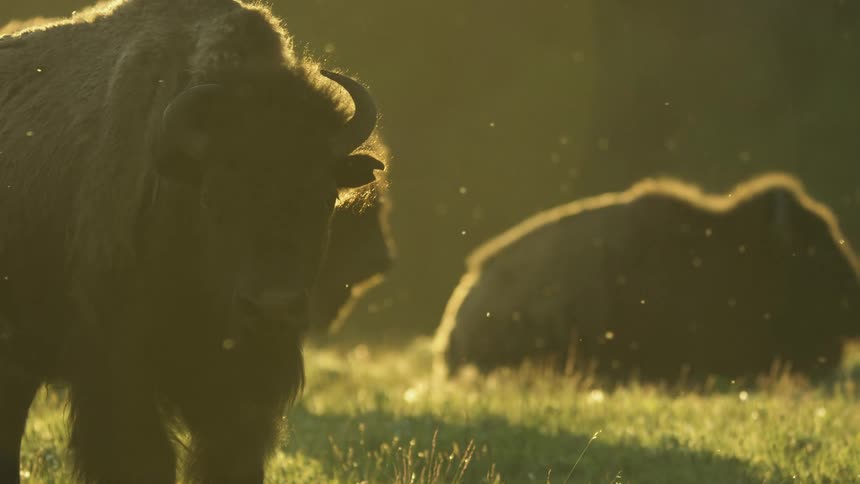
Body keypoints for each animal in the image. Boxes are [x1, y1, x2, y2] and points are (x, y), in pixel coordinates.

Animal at [0, 1, 385, 482]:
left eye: (324, 197)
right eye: (212, 198)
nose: (272, 308)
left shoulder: (242, 393)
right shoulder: (118, 375)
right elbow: (142, 458)